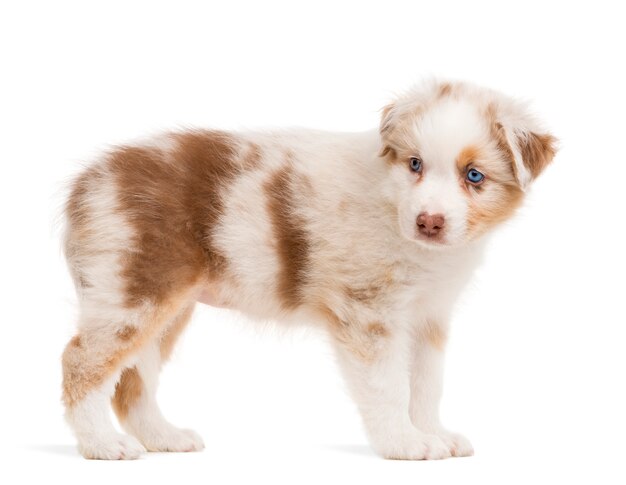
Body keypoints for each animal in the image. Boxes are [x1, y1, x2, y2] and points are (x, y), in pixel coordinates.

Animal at [59, 79, 556, 458]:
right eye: (415, 164)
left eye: (474, 176)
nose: (429, 222)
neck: (391, 205)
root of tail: (85, 183)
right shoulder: (368, 313)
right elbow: (389, 386)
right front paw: (404, 444)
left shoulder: (428, 316)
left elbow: (426, 383)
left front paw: (433, 433)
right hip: (134, 290)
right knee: (81, 361)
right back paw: (102, 445)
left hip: (163, 304)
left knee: (132, 380)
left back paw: (163, 438)